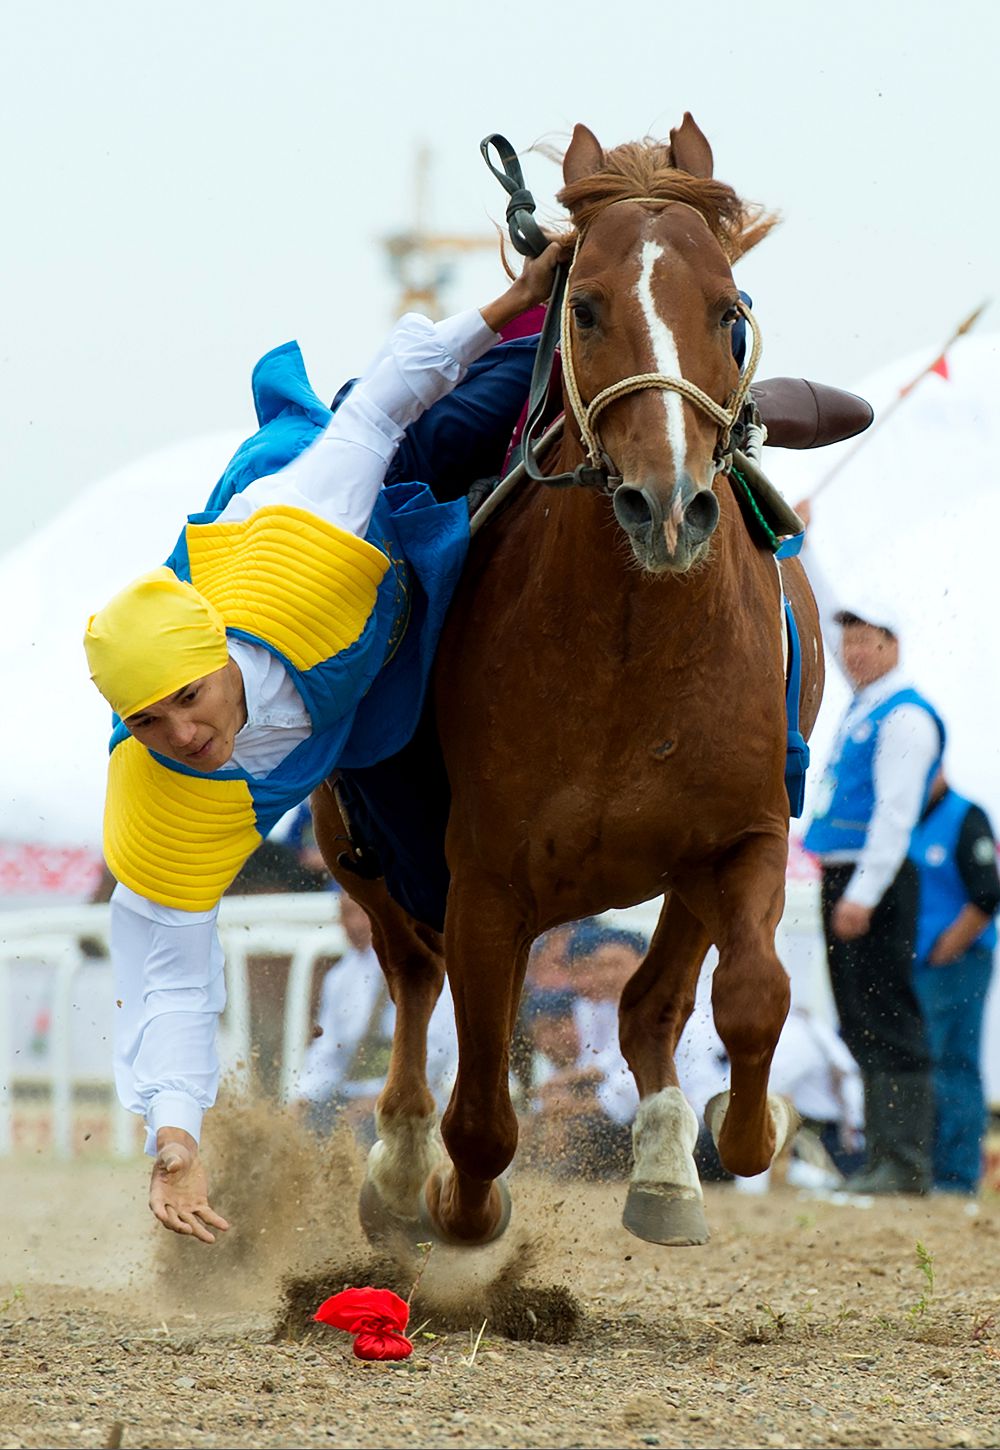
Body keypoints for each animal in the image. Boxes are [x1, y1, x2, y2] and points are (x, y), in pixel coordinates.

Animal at [310, 116, 817, 1247]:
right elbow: (480, 1112)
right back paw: (399, 1167)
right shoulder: (484, 872)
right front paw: (452, 1198)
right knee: (414, 978)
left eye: (728, 311)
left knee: (650, 1002)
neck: (630, 654)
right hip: (359, 846)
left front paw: (745, 1129)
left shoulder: (745, 829)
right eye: (583, 308)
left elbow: (753, 994)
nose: (667, 506)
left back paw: (666, 1166)